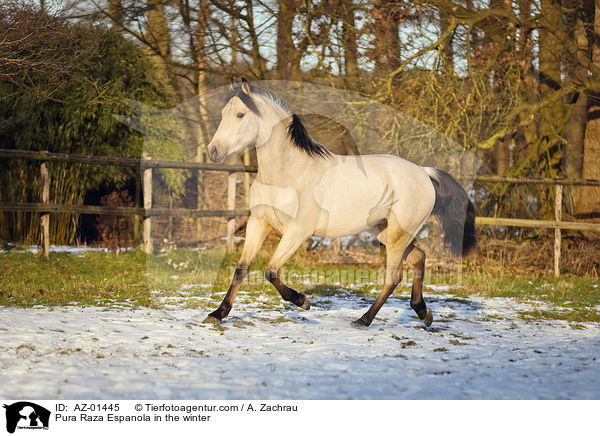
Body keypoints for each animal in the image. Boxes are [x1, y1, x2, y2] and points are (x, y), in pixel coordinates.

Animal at [204, 78, 476, 328]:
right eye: (223, 113)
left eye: (240, 114)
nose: (213, 151)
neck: (287, 174)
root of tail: (424, 173)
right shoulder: (258, 223)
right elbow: (241, 268)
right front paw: (218, 313)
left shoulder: (298, 231)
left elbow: (270, 270)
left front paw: (303, 301)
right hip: (387, 231)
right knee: (419, 257)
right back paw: (423, 312)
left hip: (399, 234)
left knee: (393, 276)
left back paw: (364, 320)